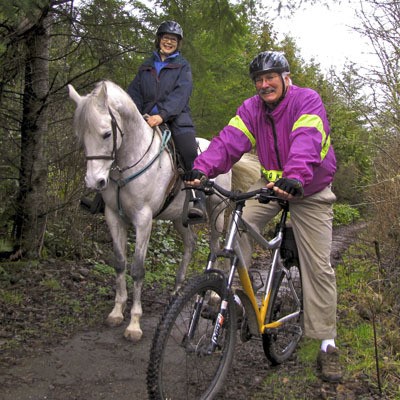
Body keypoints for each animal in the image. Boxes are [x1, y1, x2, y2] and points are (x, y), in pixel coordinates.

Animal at [69, 80, 260, 340]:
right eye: (81, 136)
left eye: (107, 134)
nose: (94, 181)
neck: (130, 159)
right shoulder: (113, 216)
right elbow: (119, 262)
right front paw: (117, 312)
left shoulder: (143, 219)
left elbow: (138, 269)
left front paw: (134, 324)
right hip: (180, 219)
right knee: (190, 243)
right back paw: (177, 290)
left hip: (217, 214)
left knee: (214, 246)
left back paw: (212, 294)